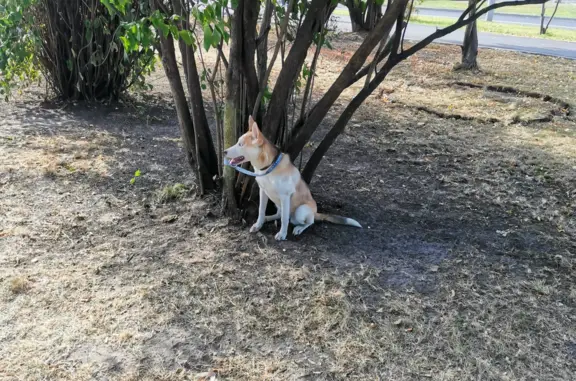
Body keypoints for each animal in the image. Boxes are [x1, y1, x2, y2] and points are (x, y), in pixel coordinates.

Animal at [224, 116, 360, 240]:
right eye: (237, 142)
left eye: (241, 144)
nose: (224, 151)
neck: (269, 167)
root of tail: (315, 213)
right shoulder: (263, 191)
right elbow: (261, 211)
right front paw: (259, 225)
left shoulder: (285, 196)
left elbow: (284, 219)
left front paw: (282, 234)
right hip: (278, 204)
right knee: (280, 214)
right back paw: (268, 218)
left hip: (301, 210)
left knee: (306, 222)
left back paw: (299, 228)